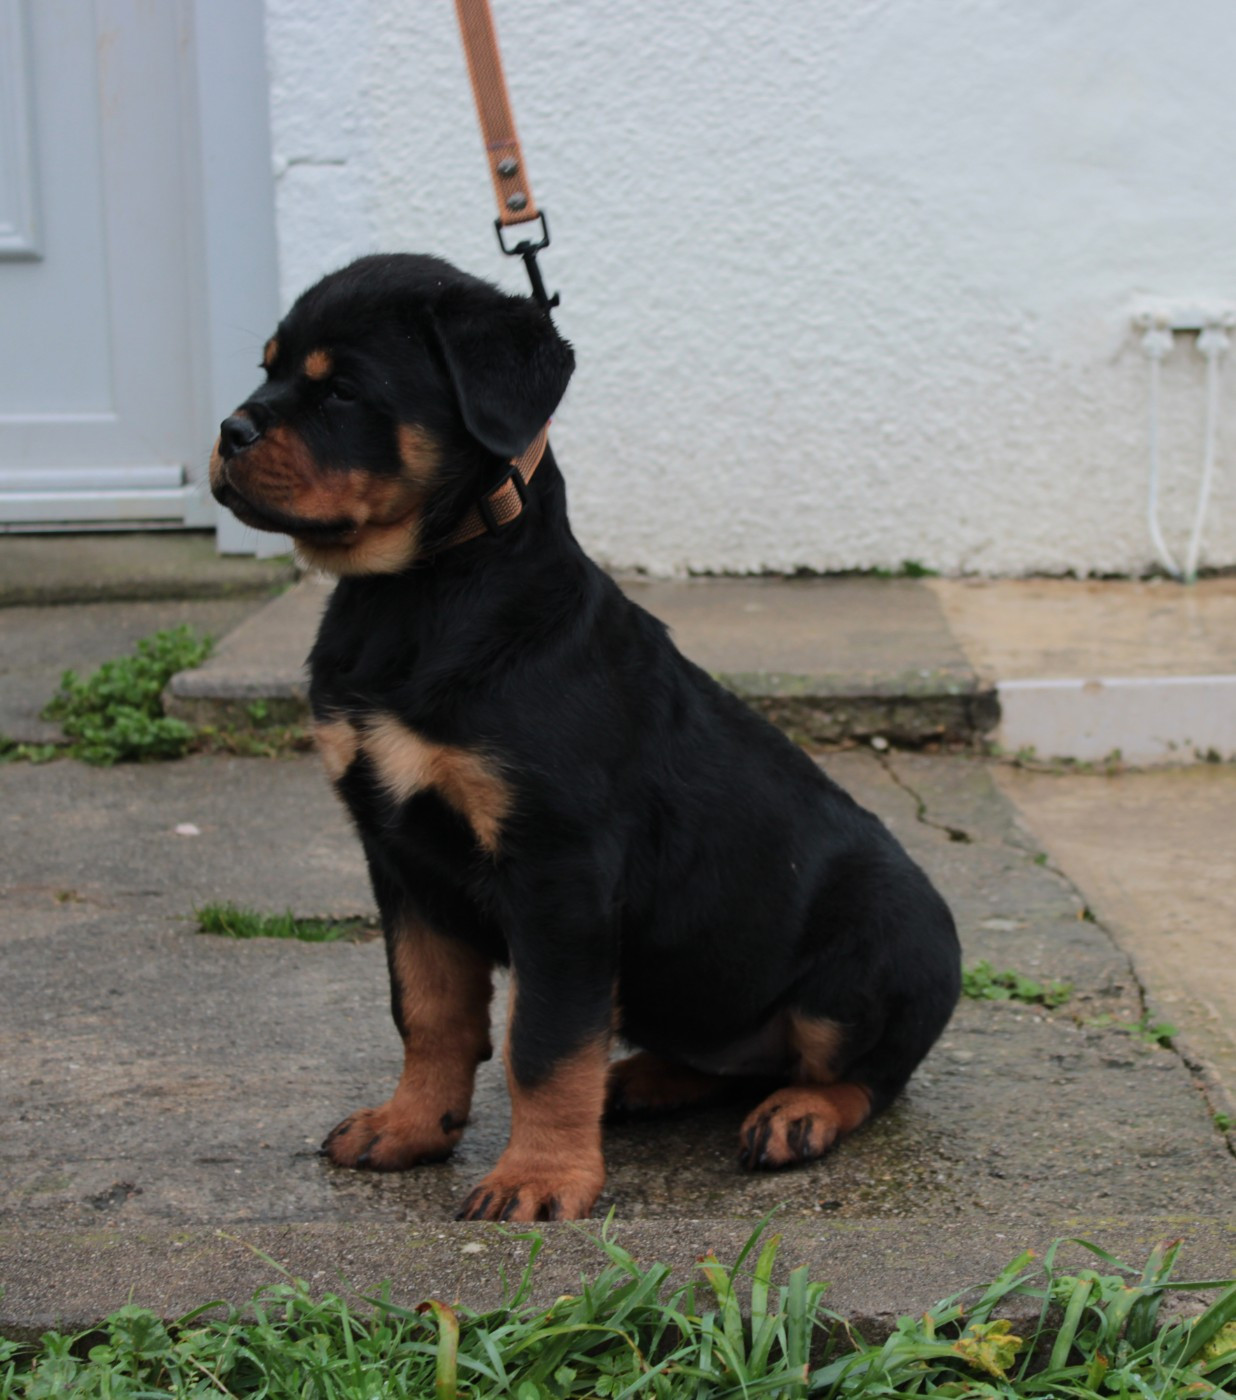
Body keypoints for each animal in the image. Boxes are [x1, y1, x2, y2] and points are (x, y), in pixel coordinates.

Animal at [210, 253, 961, 1222]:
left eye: (341, 389)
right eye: (266, 368)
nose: (229, 429)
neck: (417, 592)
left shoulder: (557, 870)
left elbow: (543, 1040)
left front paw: (537, 1179)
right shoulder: (399, 857)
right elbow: (429, 1009)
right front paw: (408, 1127)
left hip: (871, 955)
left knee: (865, 1074)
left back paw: (798, 1114)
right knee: (726, 1056)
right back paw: (641, 1081)